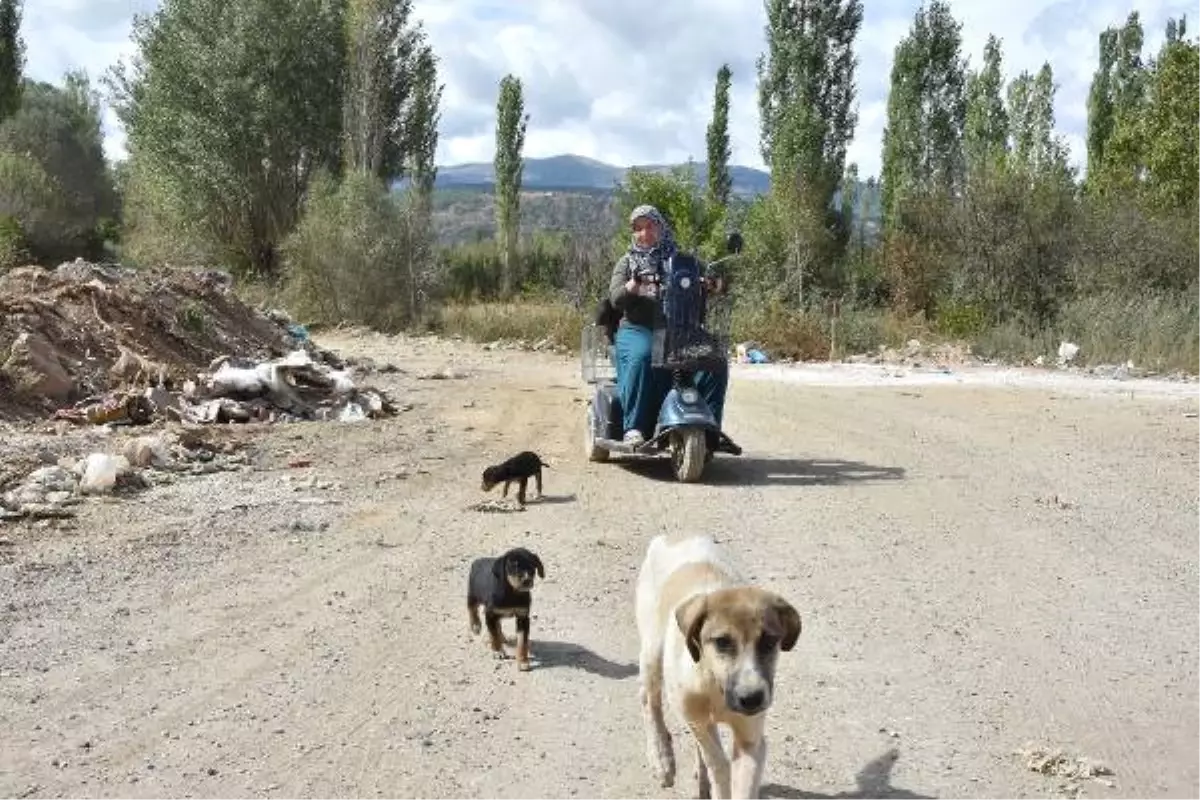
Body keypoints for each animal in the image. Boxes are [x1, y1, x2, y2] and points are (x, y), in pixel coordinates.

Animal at [633, 534, 801, 796]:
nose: (752, 699)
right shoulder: (698, 722)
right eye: (722, 642)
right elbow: (719, 766)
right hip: (653, 650)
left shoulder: (751, 741)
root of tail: (672, 535)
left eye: (770, 642)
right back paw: (662, 758)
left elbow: (741, 782)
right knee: (649, 700)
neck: (713, 684)